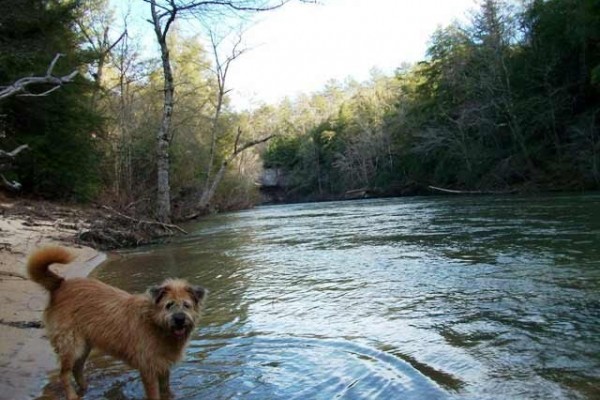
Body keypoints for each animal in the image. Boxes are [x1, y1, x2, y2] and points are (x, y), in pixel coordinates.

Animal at [28, 247, 206, 400]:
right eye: (169, 305)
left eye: (186, 305)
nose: (179, 319)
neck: (156, 324)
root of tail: (61, 283)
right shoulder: (148, 369)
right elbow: (154, 394)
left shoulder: (163, 367)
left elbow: (165, 391)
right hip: (71, 344)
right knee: (64, 374)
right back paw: (72, 395)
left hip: (85, 345)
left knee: (77, 369)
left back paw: (86, 389)